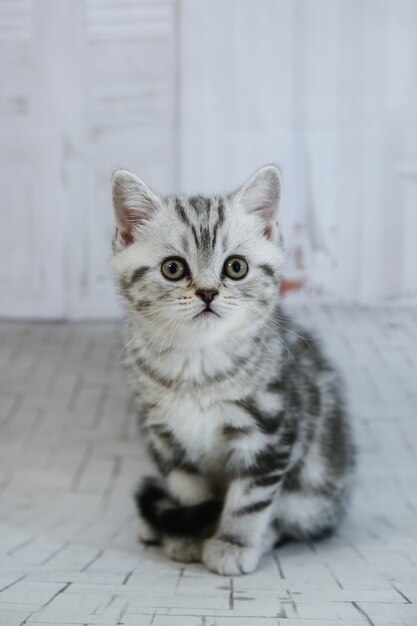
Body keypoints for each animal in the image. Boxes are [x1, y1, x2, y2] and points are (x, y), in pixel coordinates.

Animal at [111, 163, 354, 572]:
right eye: (173, 268)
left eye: (236, 267)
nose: (208, 292)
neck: (197, 363)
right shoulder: (165, 437)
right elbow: (189, 492)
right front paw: (190, 537)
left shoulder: (270, 431)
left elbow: (250, 499)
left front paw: (232, 543)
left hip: (315, 490)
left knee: (300, 520)